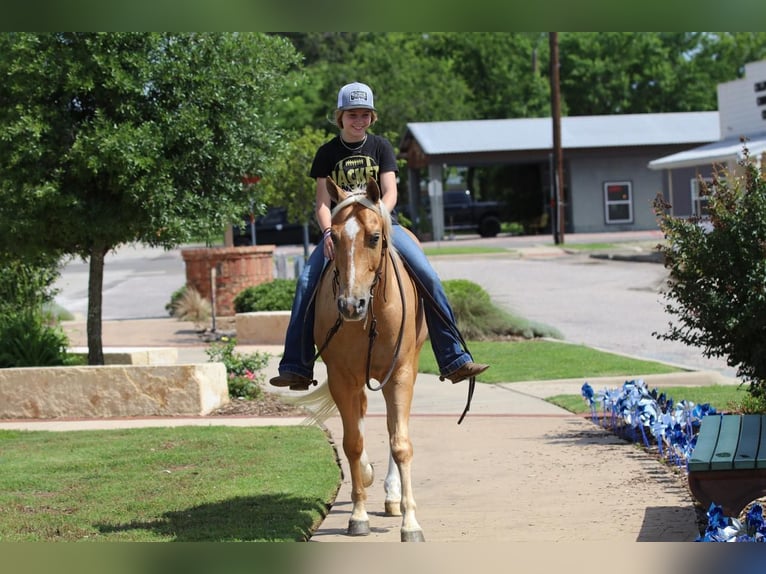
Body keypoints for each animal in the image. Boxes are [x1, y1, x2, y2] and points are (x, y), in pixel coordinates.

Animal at [314, 177, 428, 544]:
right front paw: (358, 515)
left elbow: (400, 442)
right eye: (334, 237)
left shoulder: (401, 373)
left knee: (394, 428)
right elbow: (352, 443)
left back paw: (393, 496)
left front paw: (410, 523)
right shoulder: (342, 378)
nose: (351, 305)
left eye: (375, 237)